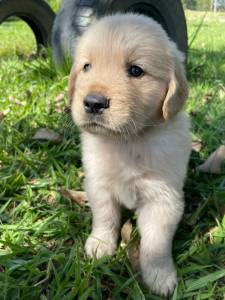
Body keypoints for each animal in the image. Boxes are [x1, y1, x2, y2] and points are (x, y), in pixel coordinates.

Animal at [69, 12, 192, 296]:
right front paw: (100, 244)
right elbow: (105, 217)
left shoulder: (163, 199)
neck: (128, 141)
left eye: (136, 70)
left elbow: (156, 243)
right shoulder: (99, 186)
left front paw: (159, 275)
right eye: (86, 67)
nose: (93, 103)